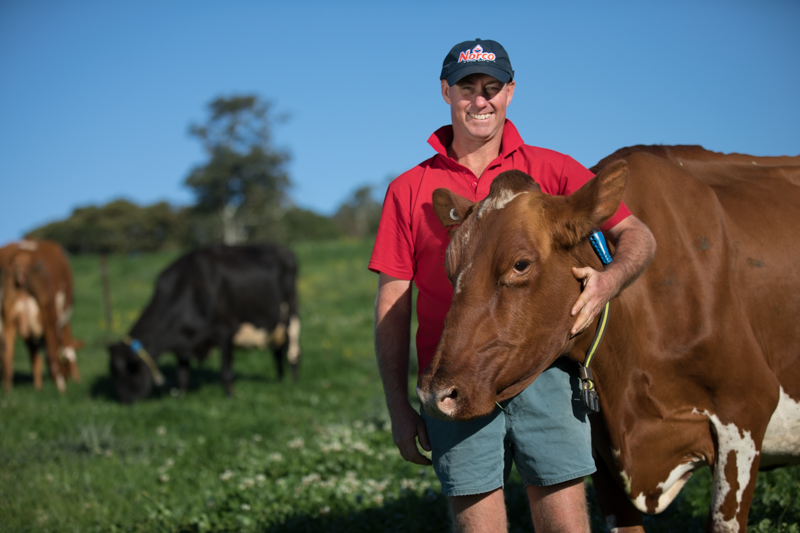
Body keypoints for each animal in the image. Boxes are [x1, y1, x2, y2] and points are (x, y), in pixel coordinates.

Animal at [0, 238, 80, 390]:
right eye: (67, 363)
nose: (69, 376)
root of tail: (20, 257)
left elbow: (34, 355)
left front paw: (38, 386)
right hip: (49, 310)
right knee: (52, 353)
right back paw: (61, 389)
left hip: (6, 317)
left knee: (7, 355)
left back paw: (8, 390)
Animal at [108, 243, 302, 402]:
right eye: (113, 373)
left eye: (129, 370)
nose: (125, 401)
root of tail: (282, 248)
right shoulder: (182, 341)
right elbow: (183, 375)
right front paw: (182, 398)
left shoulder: (226, 330)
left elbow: (225, 371)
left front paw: (230, 397)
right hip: (275, 324)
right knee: (277, 351)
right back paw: (280, 380)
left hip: (291, 316)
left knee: (292, 351)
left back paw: (292, 384)